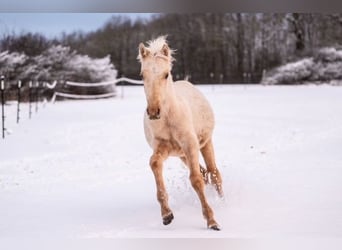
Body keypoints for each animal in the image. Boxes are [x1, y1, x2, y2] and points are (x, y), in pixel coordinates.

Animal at [138, 35, 223, 230]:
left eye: (166, 74)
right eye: (142, 75)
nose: (153, 112)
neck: (170, 117)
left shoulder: (190, 144)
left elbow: (196, 180)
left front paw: (212, 221)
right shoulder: (163, 148)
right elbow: (154, 163)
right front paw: (166, 215)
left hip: (204, 144)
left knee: (214, 173)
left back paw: (222, 201)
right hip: (182, 155)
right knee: (206, 173)